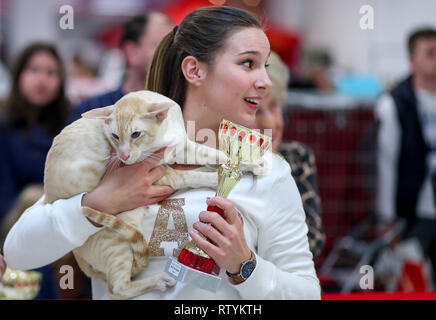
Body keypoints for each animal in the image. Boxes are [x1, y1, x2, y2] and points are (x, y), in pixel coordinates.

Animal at [42, 90, 230, 300]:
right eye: (115, 136)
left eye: (136, 134)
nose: (123, 156)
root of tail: (76, 255)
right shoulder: (156, 175)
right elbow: (189, 175)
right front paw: (216, 178)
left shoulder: (183, 147)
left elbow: (215, 153)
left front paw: (241, 163)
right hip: (118, 242)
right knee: (118, 288)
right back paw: (160, 279)